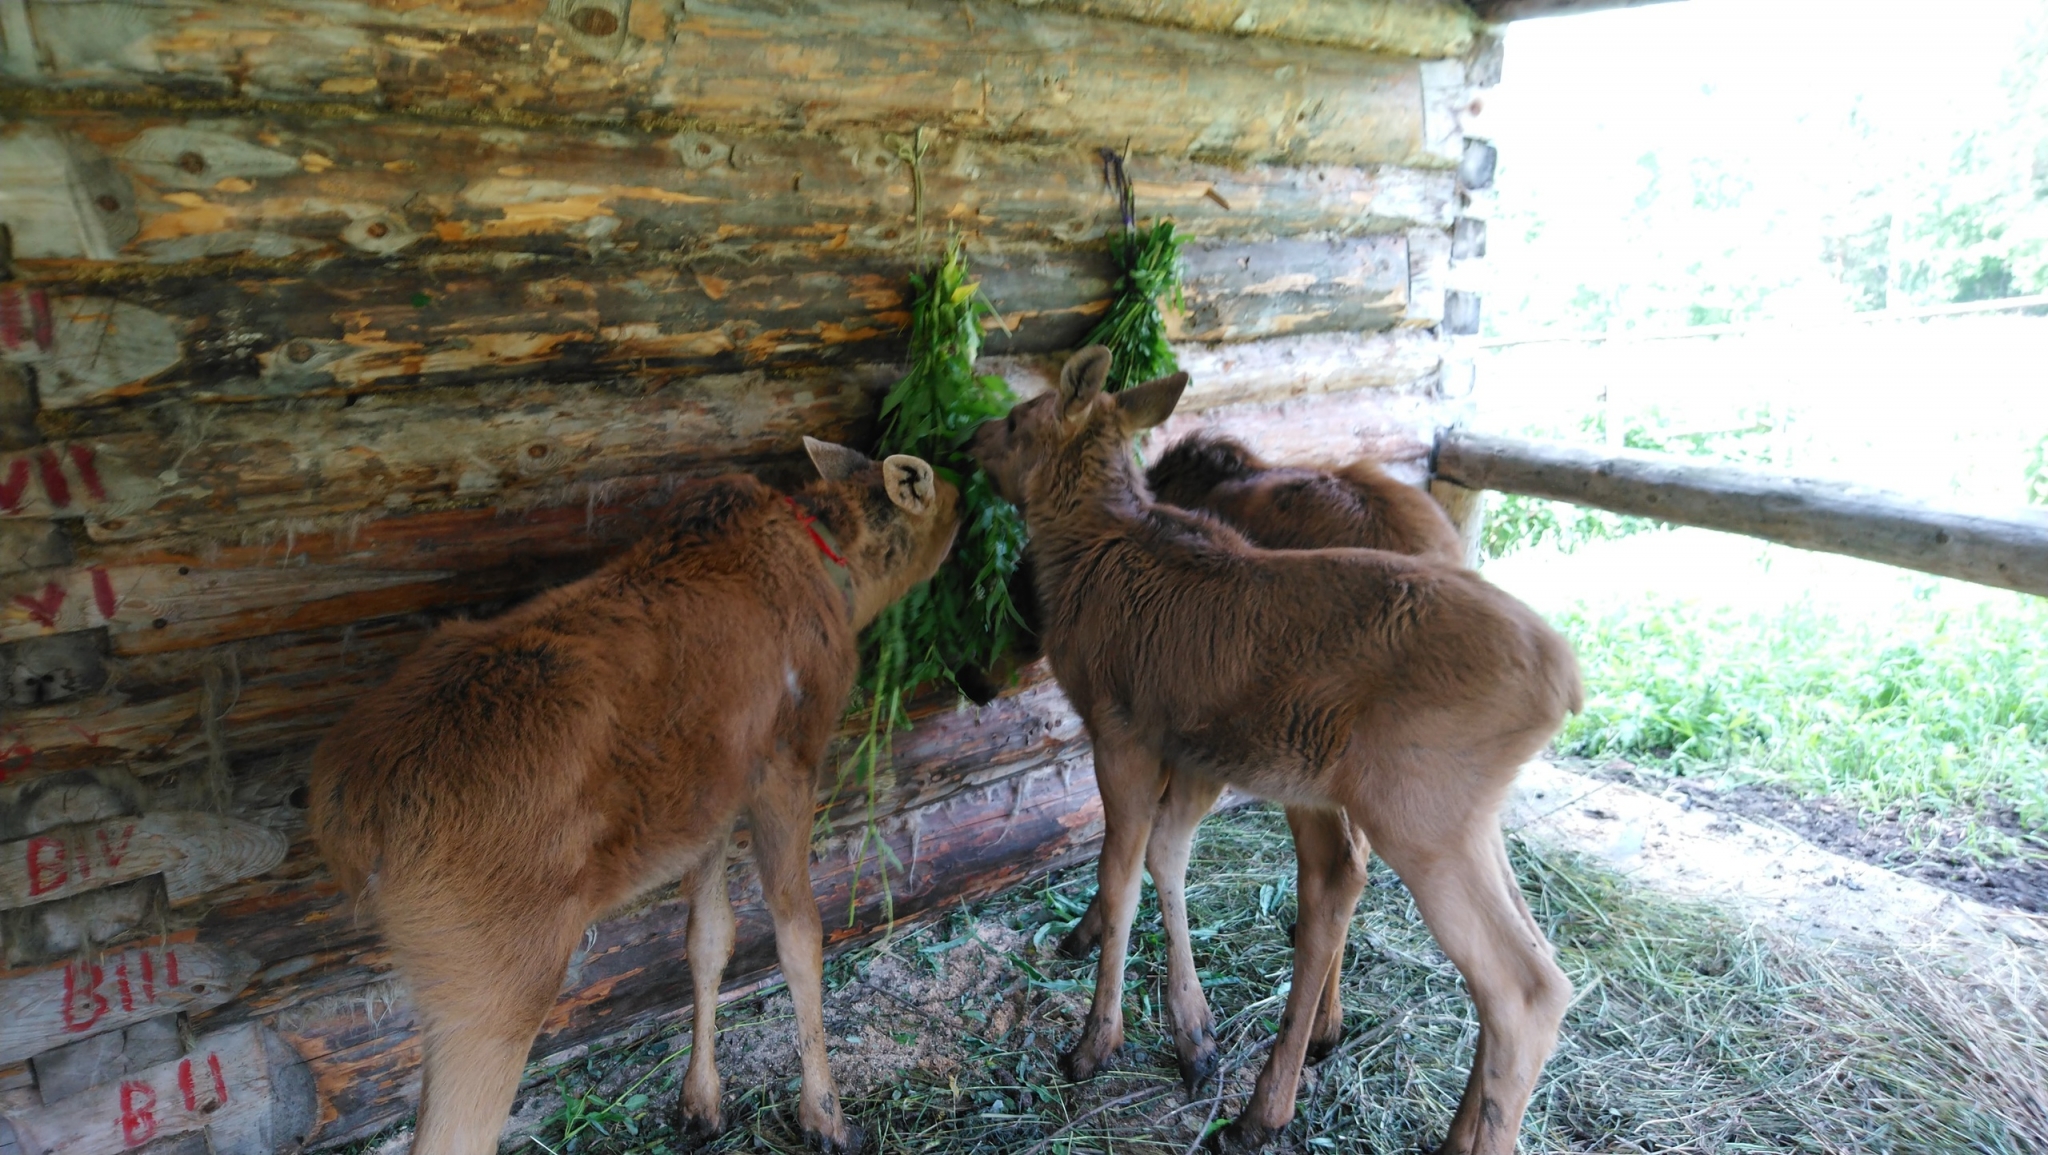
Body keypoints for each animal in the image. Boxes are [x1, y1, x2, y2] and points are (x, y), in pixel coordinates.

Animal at [309, 440, 958, 1155]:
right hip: (492, 978)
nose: (967, 499)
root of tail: (345, 815)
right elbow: (800, 934)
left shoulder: (712, 801)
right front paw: (825, 1115)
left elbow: (709, 938)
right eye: (945, 497)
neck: (842, 585)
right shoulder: (788, 759)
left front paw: (700, 1103)